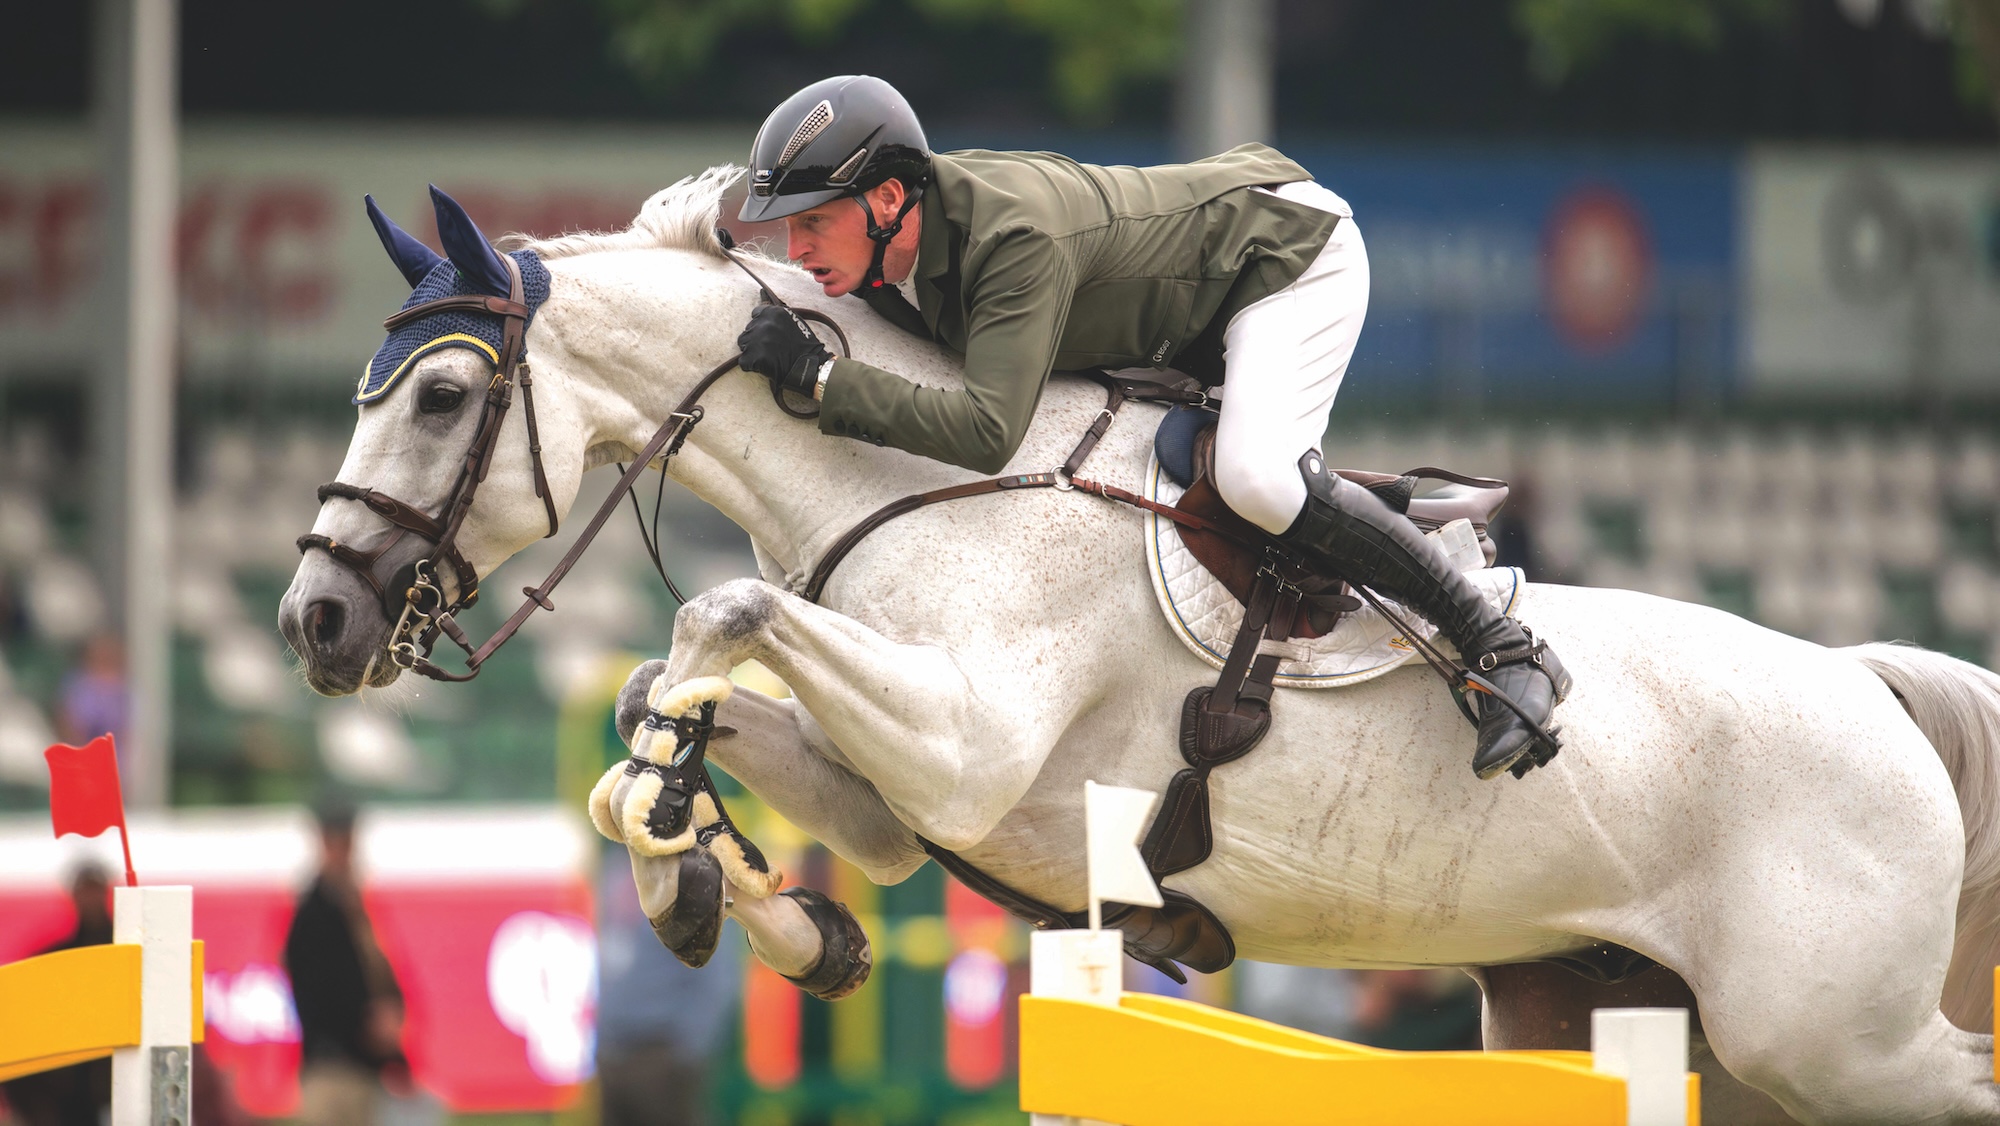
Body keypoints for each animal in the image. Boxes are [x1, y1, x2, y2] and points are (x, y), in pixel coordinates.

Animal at [281, 167, 2000, 1125]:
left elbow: (720, 615)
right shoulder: (902, 805)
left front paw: (701, 854)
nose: (315, 619)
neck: (907, 474)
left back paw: (1517, 686)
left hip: (1828, 1037)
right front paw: (738, 894)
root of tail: (1872, 682)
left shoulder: (964, 745)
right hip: (1605, 1004)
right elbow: (678, 702)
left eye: (442, 396)